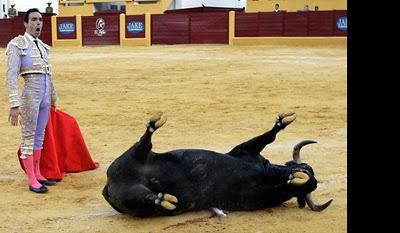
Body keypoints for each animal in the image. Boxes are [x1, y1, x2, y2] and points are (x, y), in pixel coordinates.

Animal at [102, 112, 332, 218]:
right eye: (306, 168)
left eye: (312, 185)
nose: (309, 178)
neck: (266, 173)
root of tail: (108, 185)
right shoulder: (244, 151)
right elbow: (267, 137)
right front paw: (282, 121)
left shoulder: (255, 196)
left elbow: (280, 188)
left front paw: (293, 181)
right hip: (129, 159)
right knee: (143, 145)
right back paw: (154, 124)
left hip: (129, 197)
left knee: (146, 197)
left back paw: (162, 199)